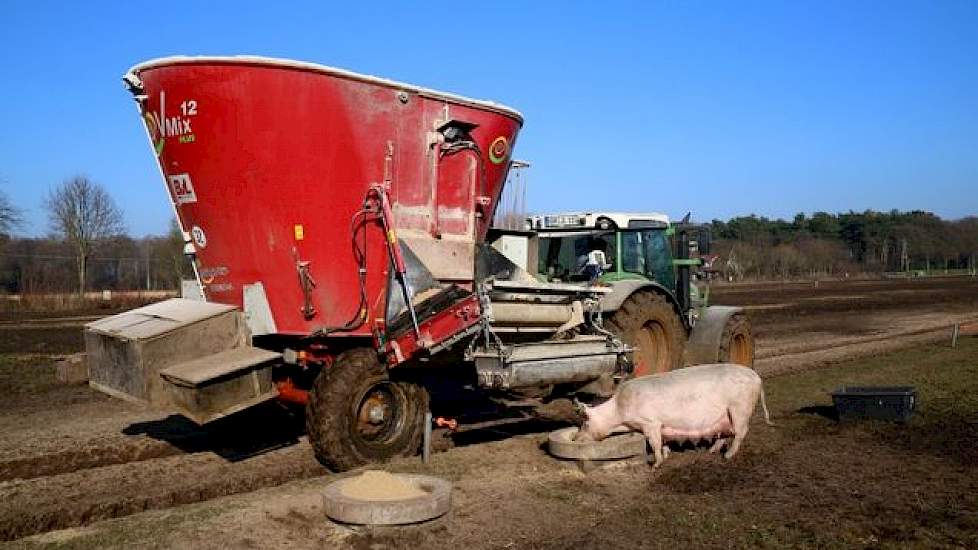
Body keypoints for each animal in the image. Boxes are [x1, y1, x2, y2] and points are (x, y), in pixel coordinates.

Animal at [572, 364, 772, 468]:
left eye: (585, 423)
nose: (574, 438)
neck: (619, 413)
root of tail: (757, 377)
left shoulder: (650, 423)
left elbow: (654, 443)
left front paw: (655, 465)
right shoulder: (662, 426)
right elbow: (663, 441)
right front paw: (667, 455)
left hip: (740, 407)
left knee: (741, 432)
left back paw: (728, 457)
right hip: (725, 415)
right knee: (725, 434)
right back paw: (712, 451)